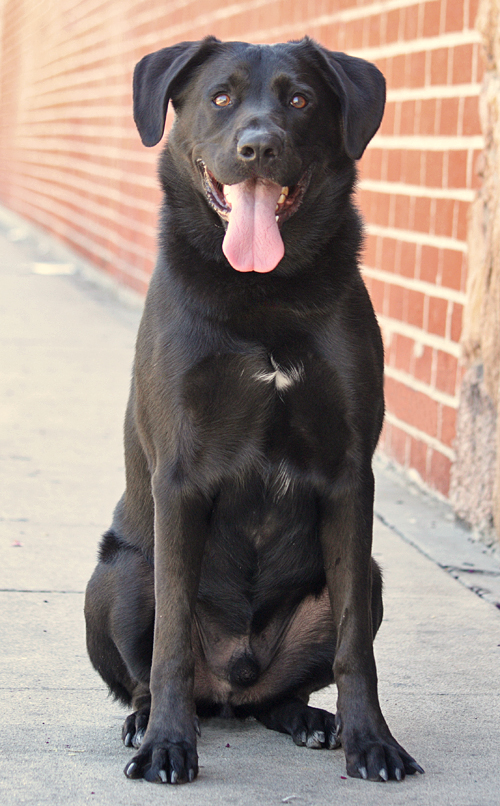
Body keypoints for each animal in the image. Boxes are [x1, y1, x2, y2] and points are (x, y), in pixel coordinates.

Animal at [84, 36, 423, 785]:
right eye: (221, 96)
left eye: (299, 99)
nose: (260, 146)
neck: (265, 292)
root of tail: (231, 688)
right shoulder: (180, 477)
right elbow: (171, 644)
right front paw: (167, 746)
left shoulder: (350, 475)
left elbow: (355, 649)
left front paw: (372, 742)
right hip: (122, 571)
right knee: (149, 671)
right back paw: (146, 721)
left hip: (370, 578)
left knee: (282, 692)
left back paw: (309, 719)